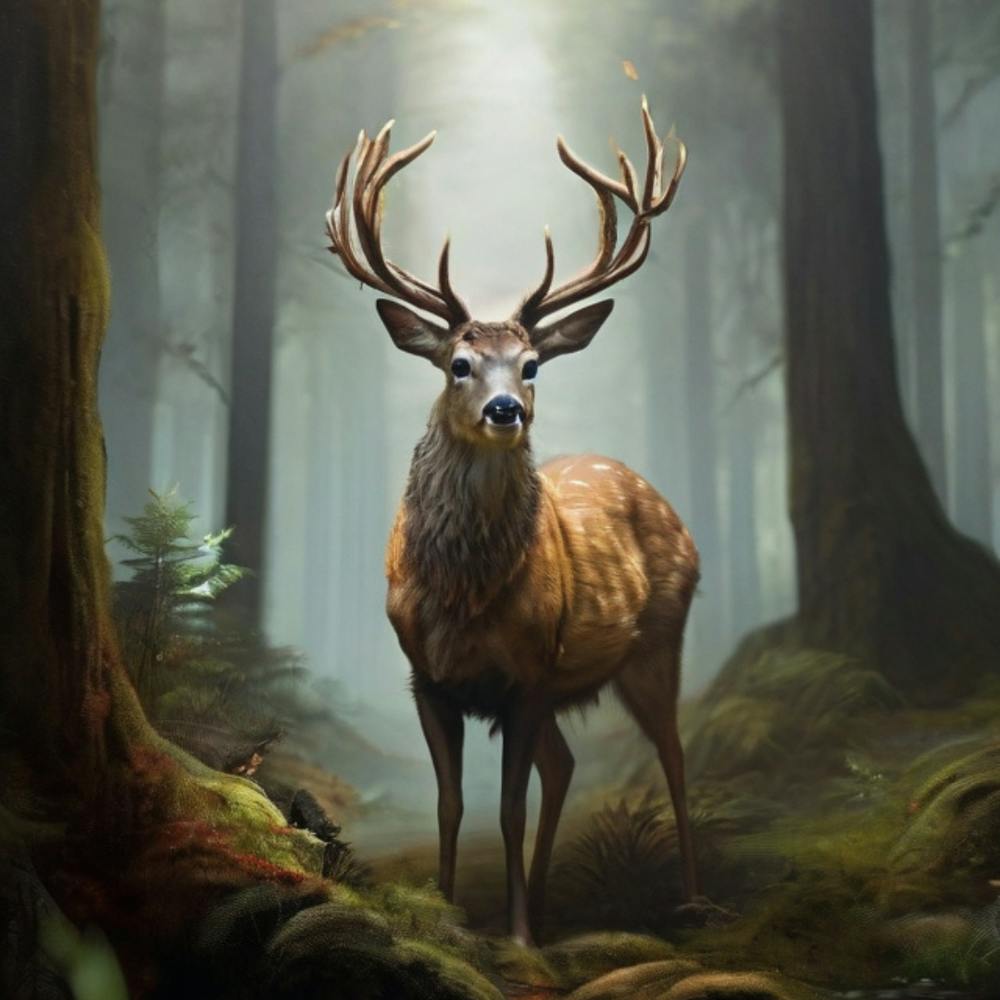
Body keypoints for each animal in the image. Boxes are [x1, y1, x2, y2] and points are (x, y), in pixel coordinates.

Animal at [324, 98, 698, 946]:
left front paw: (519, 936)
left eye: (530, 366)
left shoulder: (527, 672)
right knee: (566, 766)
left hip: (656, 642)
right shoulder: (427, 675)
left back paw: (695, 904)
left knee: (673, 755)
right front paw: (448, 914)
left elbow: (508, 807)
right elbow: (451, 803)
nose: (506, 409)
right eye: (458, 365)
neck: (465, 597)